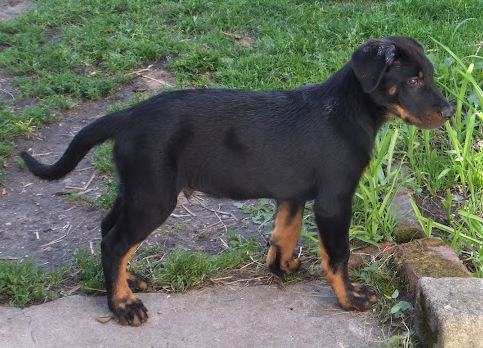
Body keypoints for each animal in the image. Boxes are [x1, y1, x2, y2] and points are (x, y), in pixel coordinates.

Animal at [21, 36, 454, 324]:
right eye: (414, 80)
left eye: (430, 74)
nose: (450, 112)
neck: (347, 110)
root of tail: (128, 115)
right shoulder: (334, 201)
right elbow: (337, 255)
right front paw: (349, 299)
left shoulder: (292, 193)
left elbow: (285, 232)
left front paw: (282, 268)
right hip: (154, 197)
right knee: (115, 244)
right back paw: (123, 306)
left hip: (136, 188)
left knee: (109, 232)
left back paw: (129, 283)